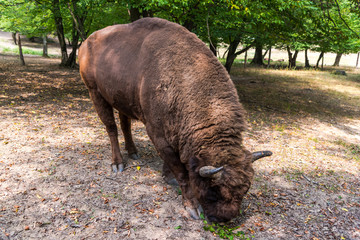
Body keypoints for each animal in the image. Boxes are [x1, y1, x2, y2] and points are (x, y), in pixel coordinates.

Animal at [78, 17, 270, 222]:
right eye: (213, 190)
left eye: (245, 189)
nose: (225, 218)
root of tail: (85, 43)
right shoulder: (157, 134)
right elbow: (181, 172)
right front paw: (192, 207)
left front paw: (167, 177)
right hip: (95, 93)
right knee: (111, 127)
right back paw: (117, 163)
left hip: (122, 98)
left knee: (125, 124)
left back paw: (133, 152)